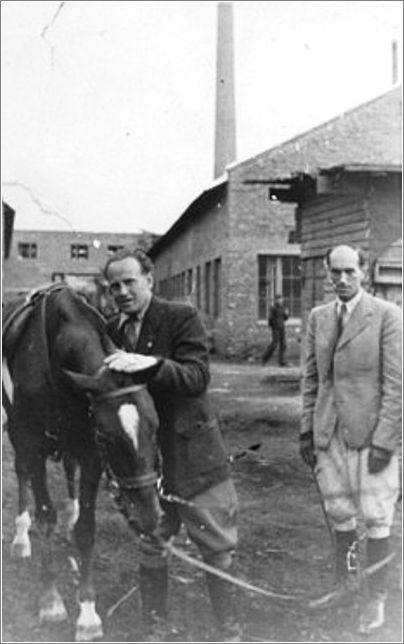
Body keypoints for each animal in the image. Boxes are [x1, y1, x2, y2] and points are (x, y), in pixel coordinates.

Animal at [1, 284, 163, 640]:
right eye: (108, 437)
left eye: (155, 424)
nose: (149, 515)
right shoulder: (33, 442)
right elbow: (45, 515)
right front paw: (50, 601)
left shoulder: (90, 451)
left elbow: (86, 530)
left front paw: (88, 611)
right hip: (17, 433)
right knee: (22, 473)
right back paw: (21, 537)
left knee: (69, 471)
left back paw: (70, 515)